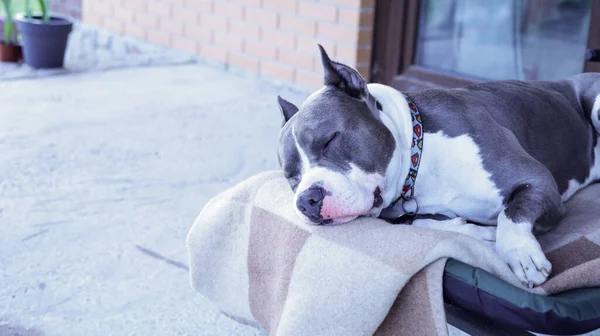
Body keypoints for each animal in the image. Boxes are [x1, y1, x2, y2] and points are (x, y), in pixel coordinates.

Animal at [276, 44, 600, 286]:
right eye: (292, 177)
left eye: (329, 141)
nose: (306, 200)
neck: (421, 160)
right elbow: (425, 222)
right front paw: (475, 233)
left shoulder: (539, 181)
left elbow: (512, 214)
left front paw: (521, 253)